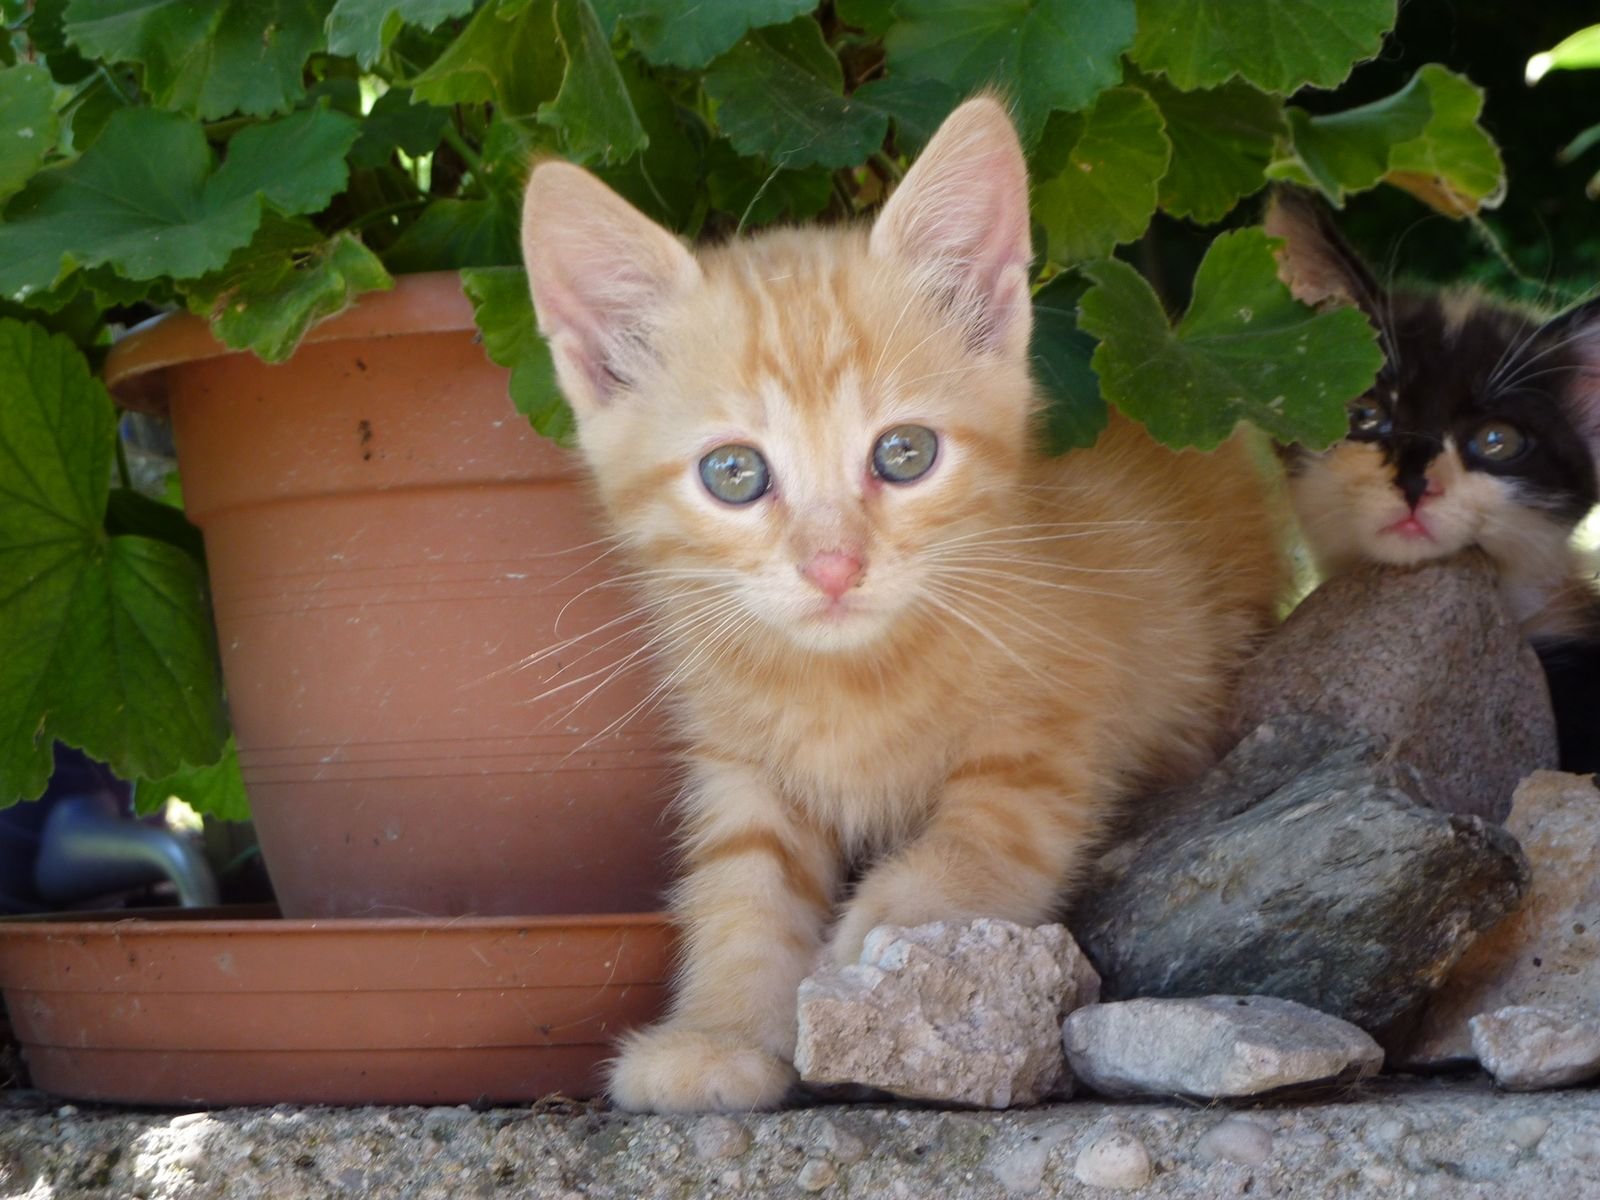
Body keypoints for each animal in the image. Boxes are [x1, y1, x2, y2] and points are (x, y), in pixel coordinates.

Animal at [524, 98, 1286, 1113]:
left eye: (904, 454)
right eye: (734, 473)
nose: (834, 565)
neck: (848, 681)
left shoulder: (1070, 691)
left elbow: (993, 824)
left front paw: (885, 929)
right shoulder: (740, 762)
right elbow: (739, 886)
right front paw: (720, 1032)